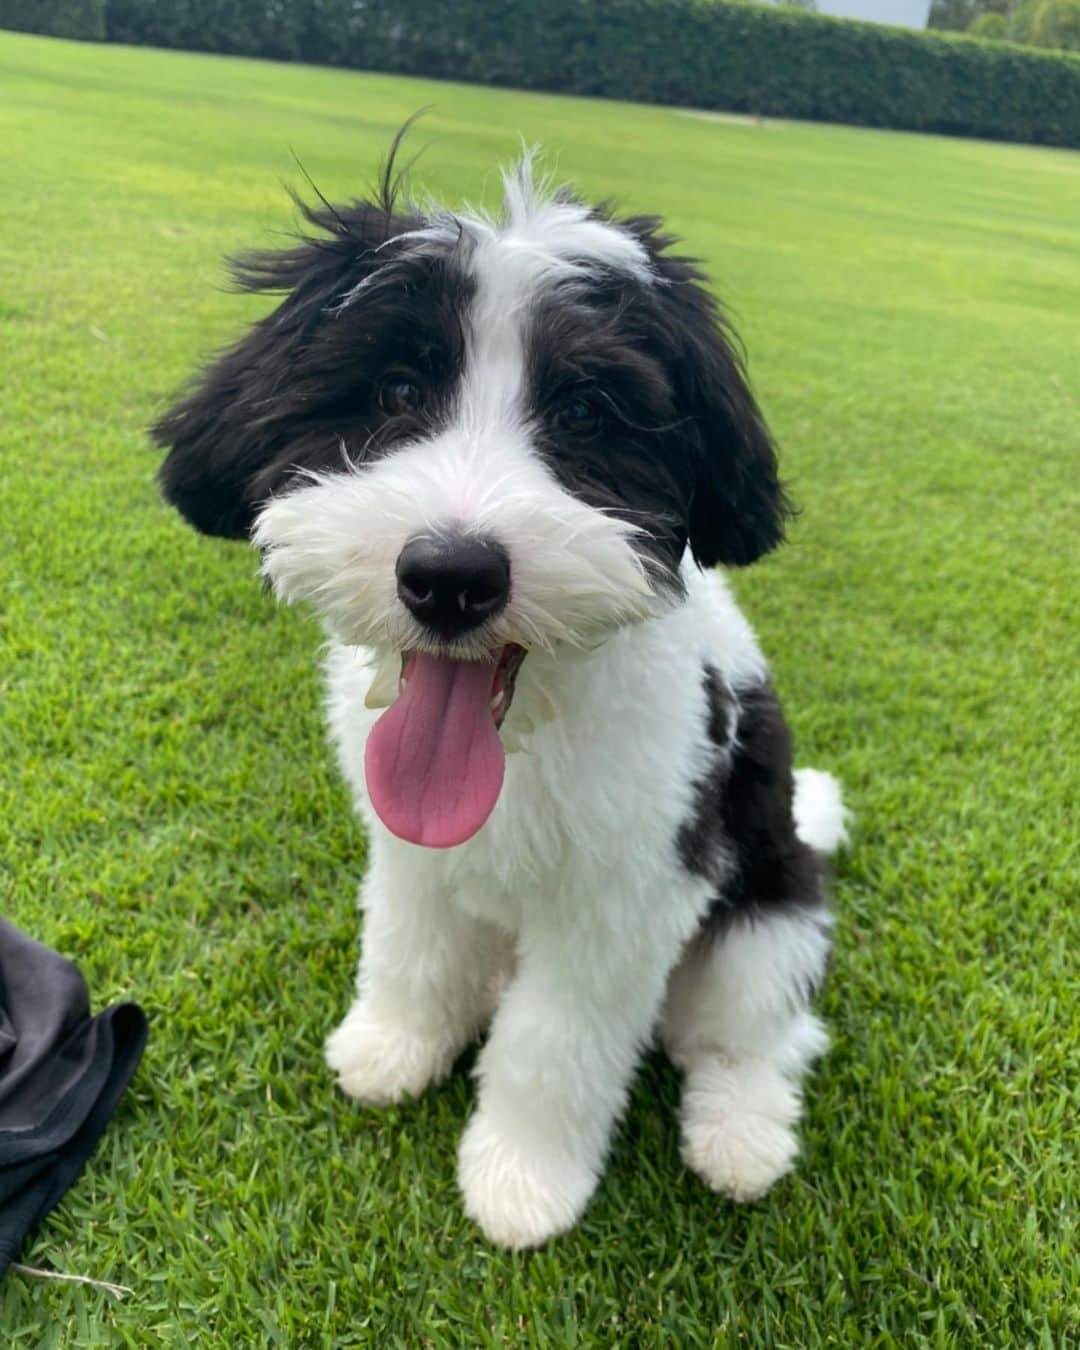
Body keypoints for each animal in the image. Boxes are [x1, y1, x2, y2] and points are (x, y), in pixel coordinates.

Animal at [155, 153, 847, 1247]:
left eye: (585, 415)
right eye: (396, 389)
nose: (451, 577)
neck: (526, 739)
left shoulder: (626, 892)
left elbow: (557, 1044)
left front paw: (524, 1180)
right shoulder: (409, 855)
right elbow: (409, 949)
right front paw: (395, 1046)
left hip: (764, 918)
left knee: (755, 1032)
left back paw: (740, 1136)